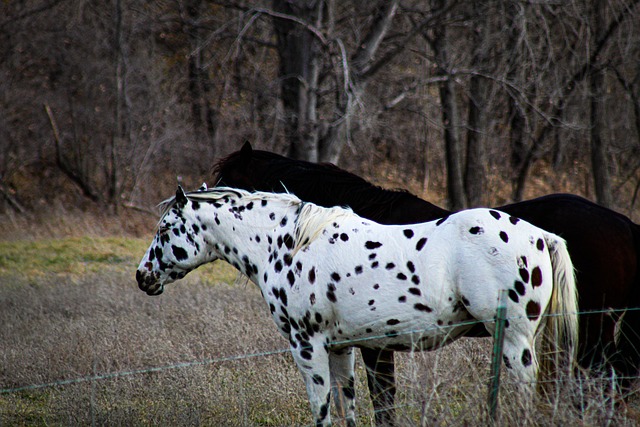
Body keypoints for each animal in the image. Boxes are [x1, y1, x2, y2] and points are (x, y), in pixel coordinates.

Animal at [138, 186, 576, 427]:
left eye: (165, 229)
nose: (143, 276)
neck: (289, 245)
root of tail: (540, 235)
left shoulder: (307, 347)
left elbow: (322, 411)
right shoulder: (341, 348)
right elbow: (348, 408)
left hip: (516, 344)